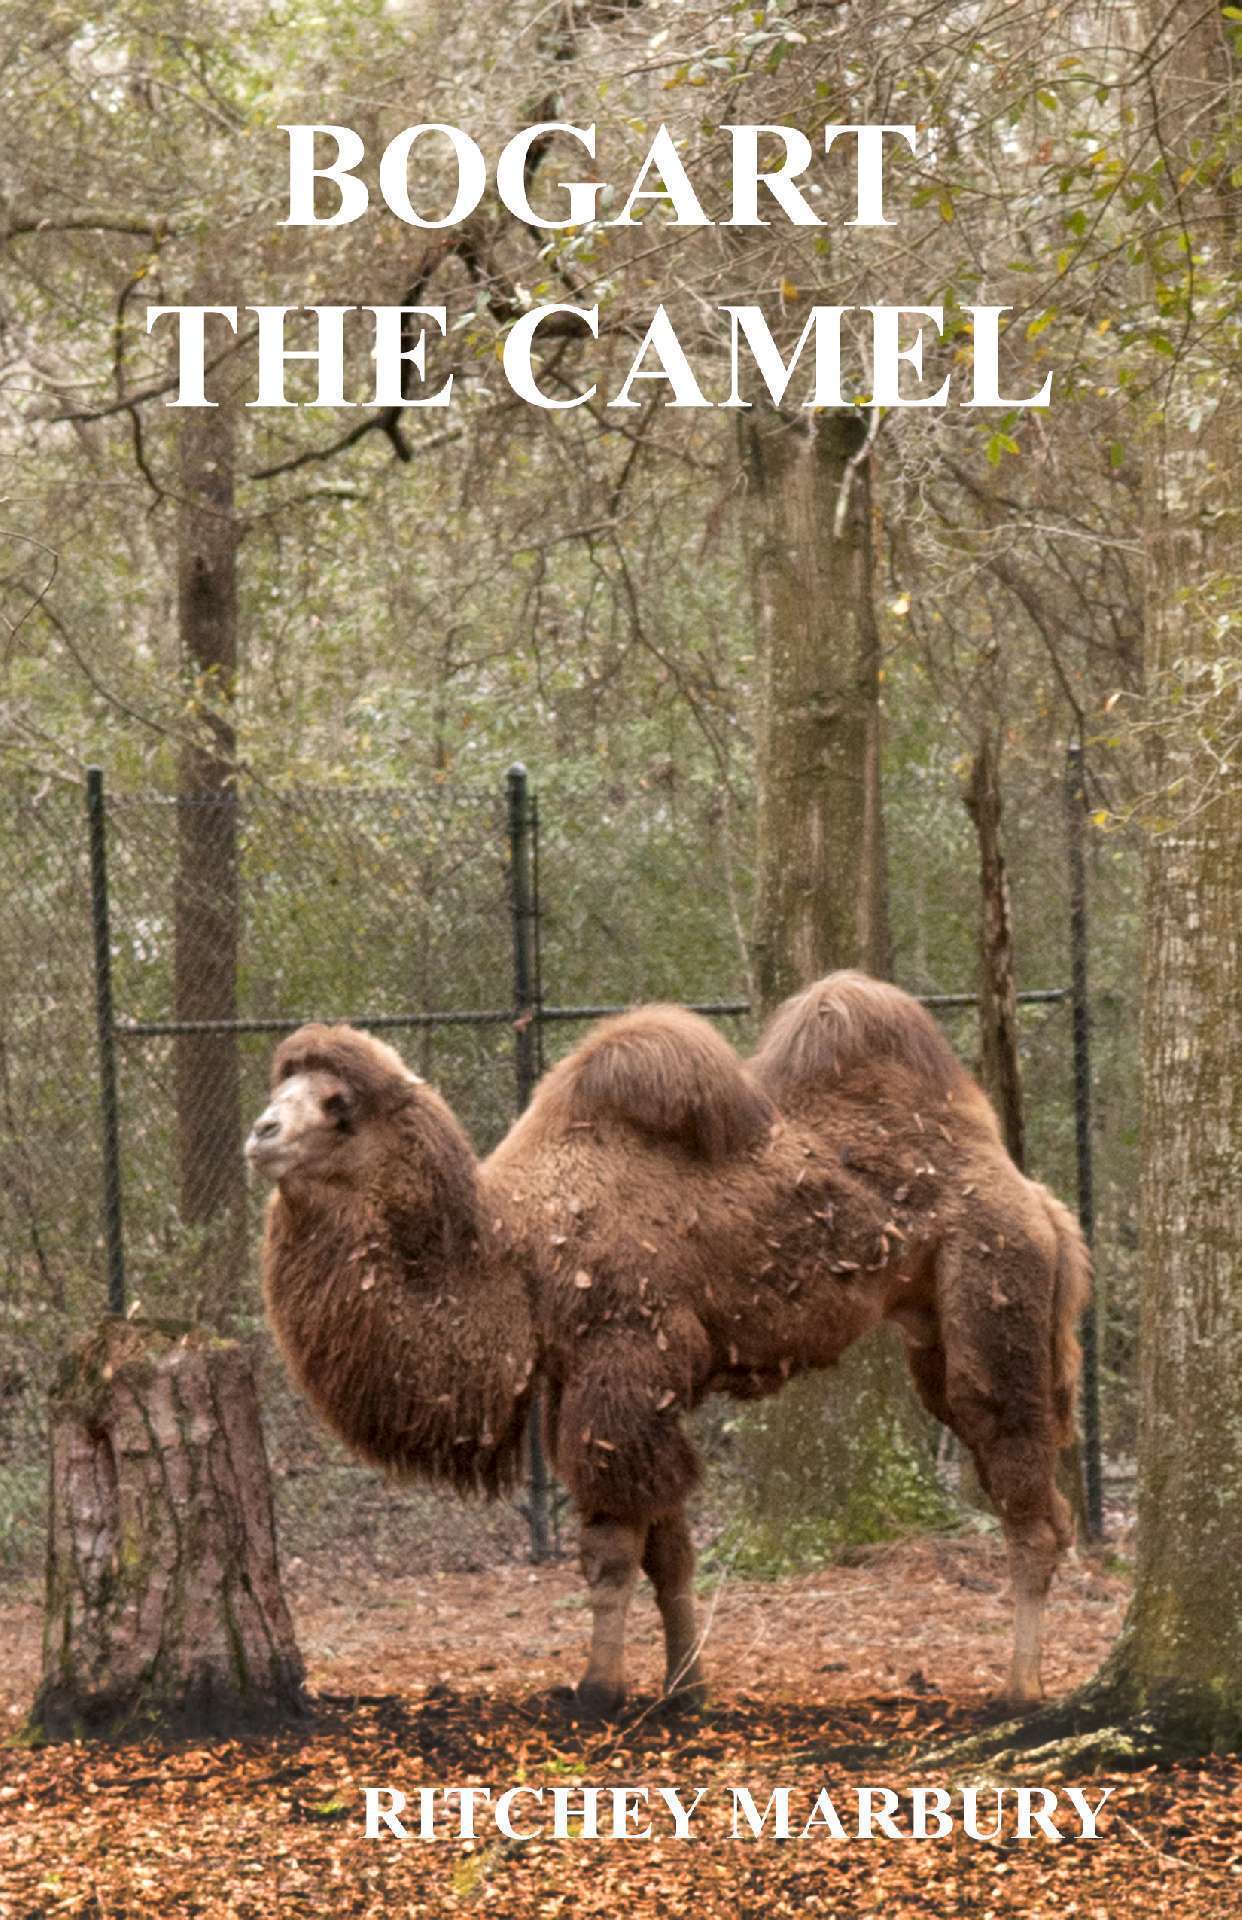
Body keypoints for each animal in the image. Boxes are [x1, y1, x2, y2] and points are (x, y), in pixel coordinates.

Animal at [246, 971, 1089, 1715]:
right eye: (281, 1094)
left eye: (339, 1105)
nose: (261, 1134)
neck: (519, 1253)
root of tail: (1038, 1197)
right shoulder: (621, 1387)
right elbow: (671, 1551)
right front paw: (686, 1690)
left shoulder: (622, 1364)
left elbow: (613, 1550)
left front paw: (599, 1689)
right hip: (933, 1335)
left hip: (994, 1281)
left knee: (1025, 1494)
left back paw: (1021, 1691)